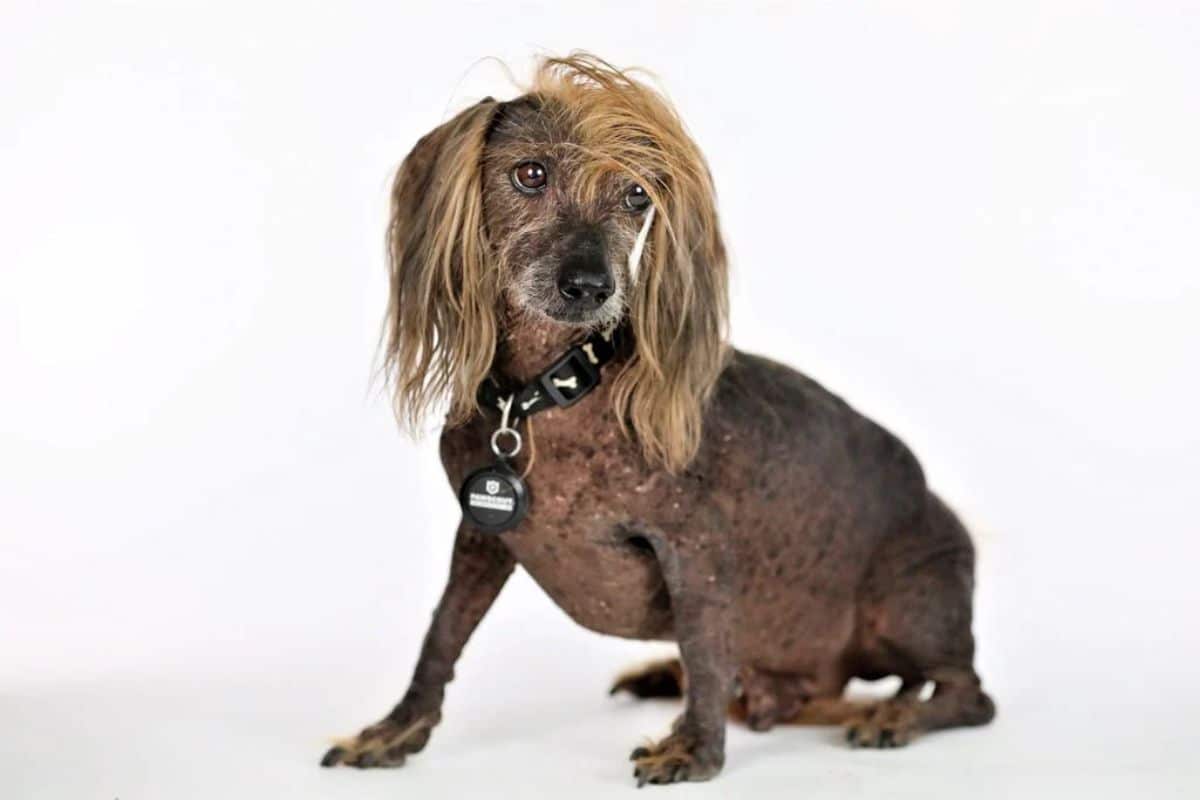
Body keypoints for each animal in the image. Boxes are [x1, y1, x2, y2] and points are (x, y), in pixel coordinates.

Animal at [321, 53, 993, 786]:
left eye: (636, 197)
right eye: (530, 174)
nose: (592, 285)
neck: (550, 392)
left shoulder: (695, 547)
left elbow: (703, 642)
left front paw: (696, 748)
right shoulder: (481, 536)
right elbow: (442, 633)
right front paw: (397, 729)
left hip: (911, 603)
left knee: (969, 694)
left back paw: (893, 716)